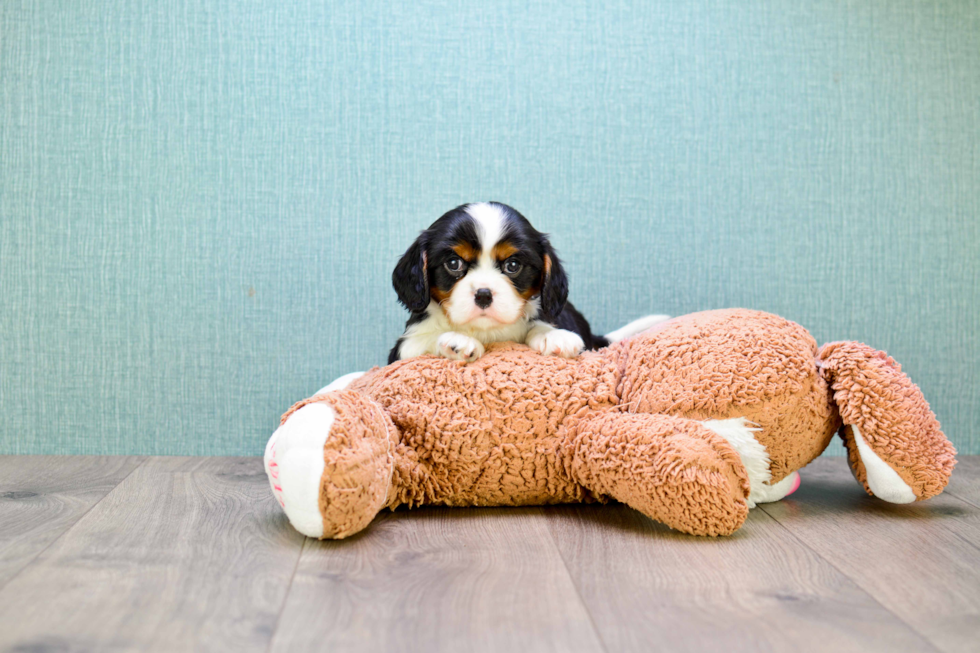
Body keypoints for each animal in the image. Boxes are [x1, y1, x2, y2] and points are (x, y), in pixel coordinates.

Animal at [388, 201, 668, 364]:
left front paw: (554, 336)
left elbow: (538, 325)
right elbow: (423, 340)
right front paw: (457, 340)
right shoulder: (401, 351)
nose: (483, 294)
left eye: (513, 266)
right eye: (454, 263)